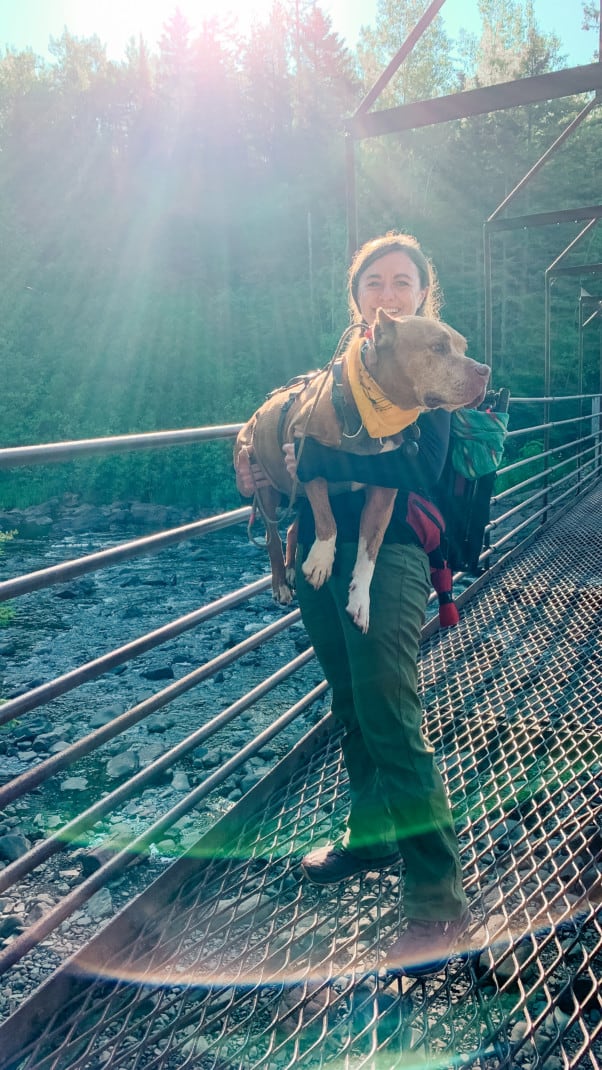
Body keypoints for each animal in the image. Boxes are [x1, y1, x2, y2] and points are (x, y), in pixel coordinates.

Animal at [234, 310, 489, 629]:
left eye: (463, 348)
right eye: (438, 347)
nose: (484, 370)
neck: (368, 408)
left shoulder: (383, 494)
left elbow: (370, 550)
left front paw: (360, 602)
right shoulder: (306, 454)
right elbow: (327, 519)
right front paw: (321, 561)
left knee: (293, 528)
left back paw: (292, 568)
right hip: (265, 485)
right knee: (271, 536)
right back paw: (281, 582)